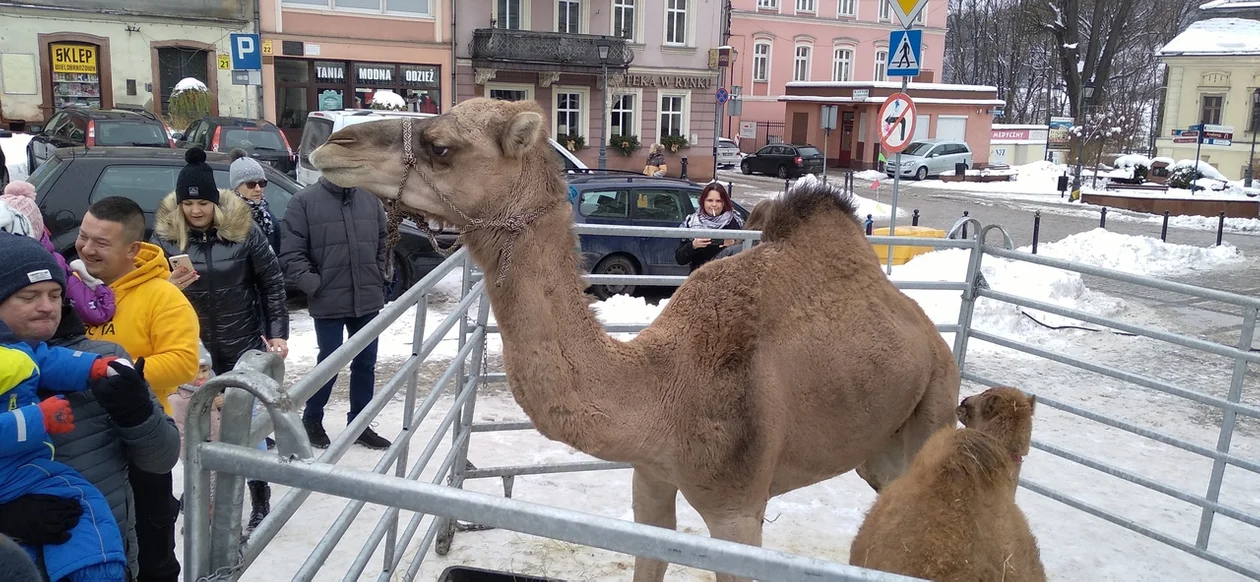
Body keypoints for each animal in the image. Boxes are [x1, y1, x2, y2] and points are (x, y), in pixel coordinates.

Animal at [309, 97, 957, 579]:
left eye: (442, 147)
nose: (332, 146)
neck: (663, 388)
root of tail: (920, 323)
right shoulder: (650, 480)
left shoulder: (739, 510)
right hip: (876, 446)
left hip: (934, 404)